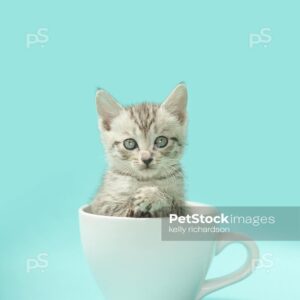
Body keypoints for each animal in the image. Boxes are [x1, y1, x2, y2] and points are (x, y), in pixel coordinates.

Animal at [90, 83, 188, 217]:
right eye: (129, 143)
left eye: (161, 141)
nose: (146, 159)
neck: (146, 180)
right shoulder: (102, 206)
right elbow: (123, 208)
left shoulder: (182, 207)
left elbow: (170, 202)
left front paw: (151, 195)